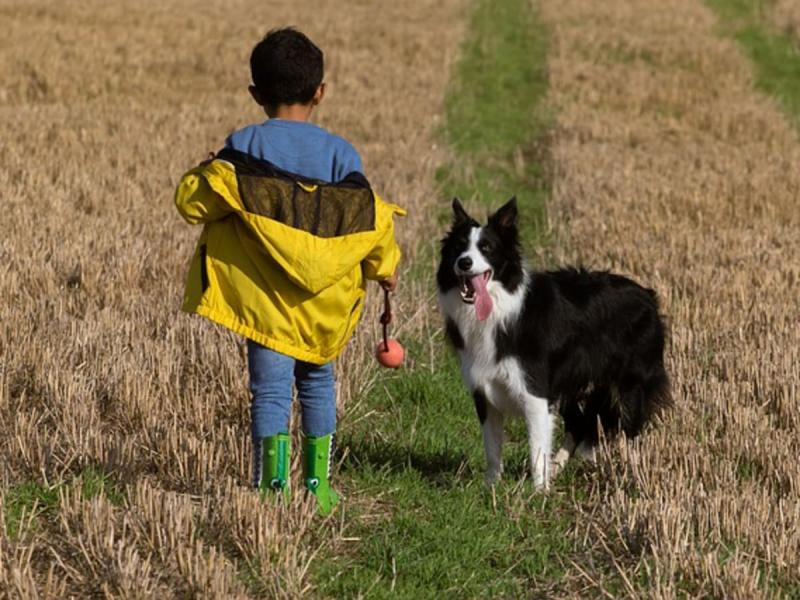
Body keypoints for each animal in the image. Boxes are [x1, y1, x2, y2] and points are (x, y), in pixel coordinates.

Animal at [438, 199, 668, 490]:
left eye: (486, 248)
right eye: (459, 247)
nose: (464, 262)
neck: (500, 308)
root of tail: (648, 296)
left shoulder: (535, 391)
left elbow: (536, 447)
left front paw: (539, 492)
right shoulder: (483, 389)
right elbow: (492, 447)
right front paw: (491, 487)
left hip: (630, 385)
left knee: (630, 431)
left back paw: (634, 477)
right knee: (581, 424)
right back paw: (559, 465)